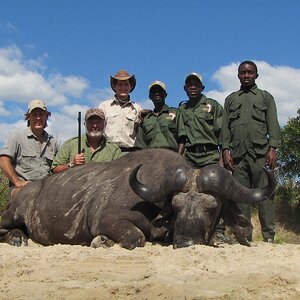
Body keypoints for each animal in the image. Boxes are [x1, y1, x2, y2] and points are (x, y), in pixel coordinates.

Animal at [0, 149, 276, 250]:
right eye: (176, 205)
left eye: (212, 207)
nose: (186, 242)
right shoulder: (109, 221)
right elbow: (137, 238)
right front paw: (101, 242)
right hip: (12, 213)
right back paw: (16, 238)